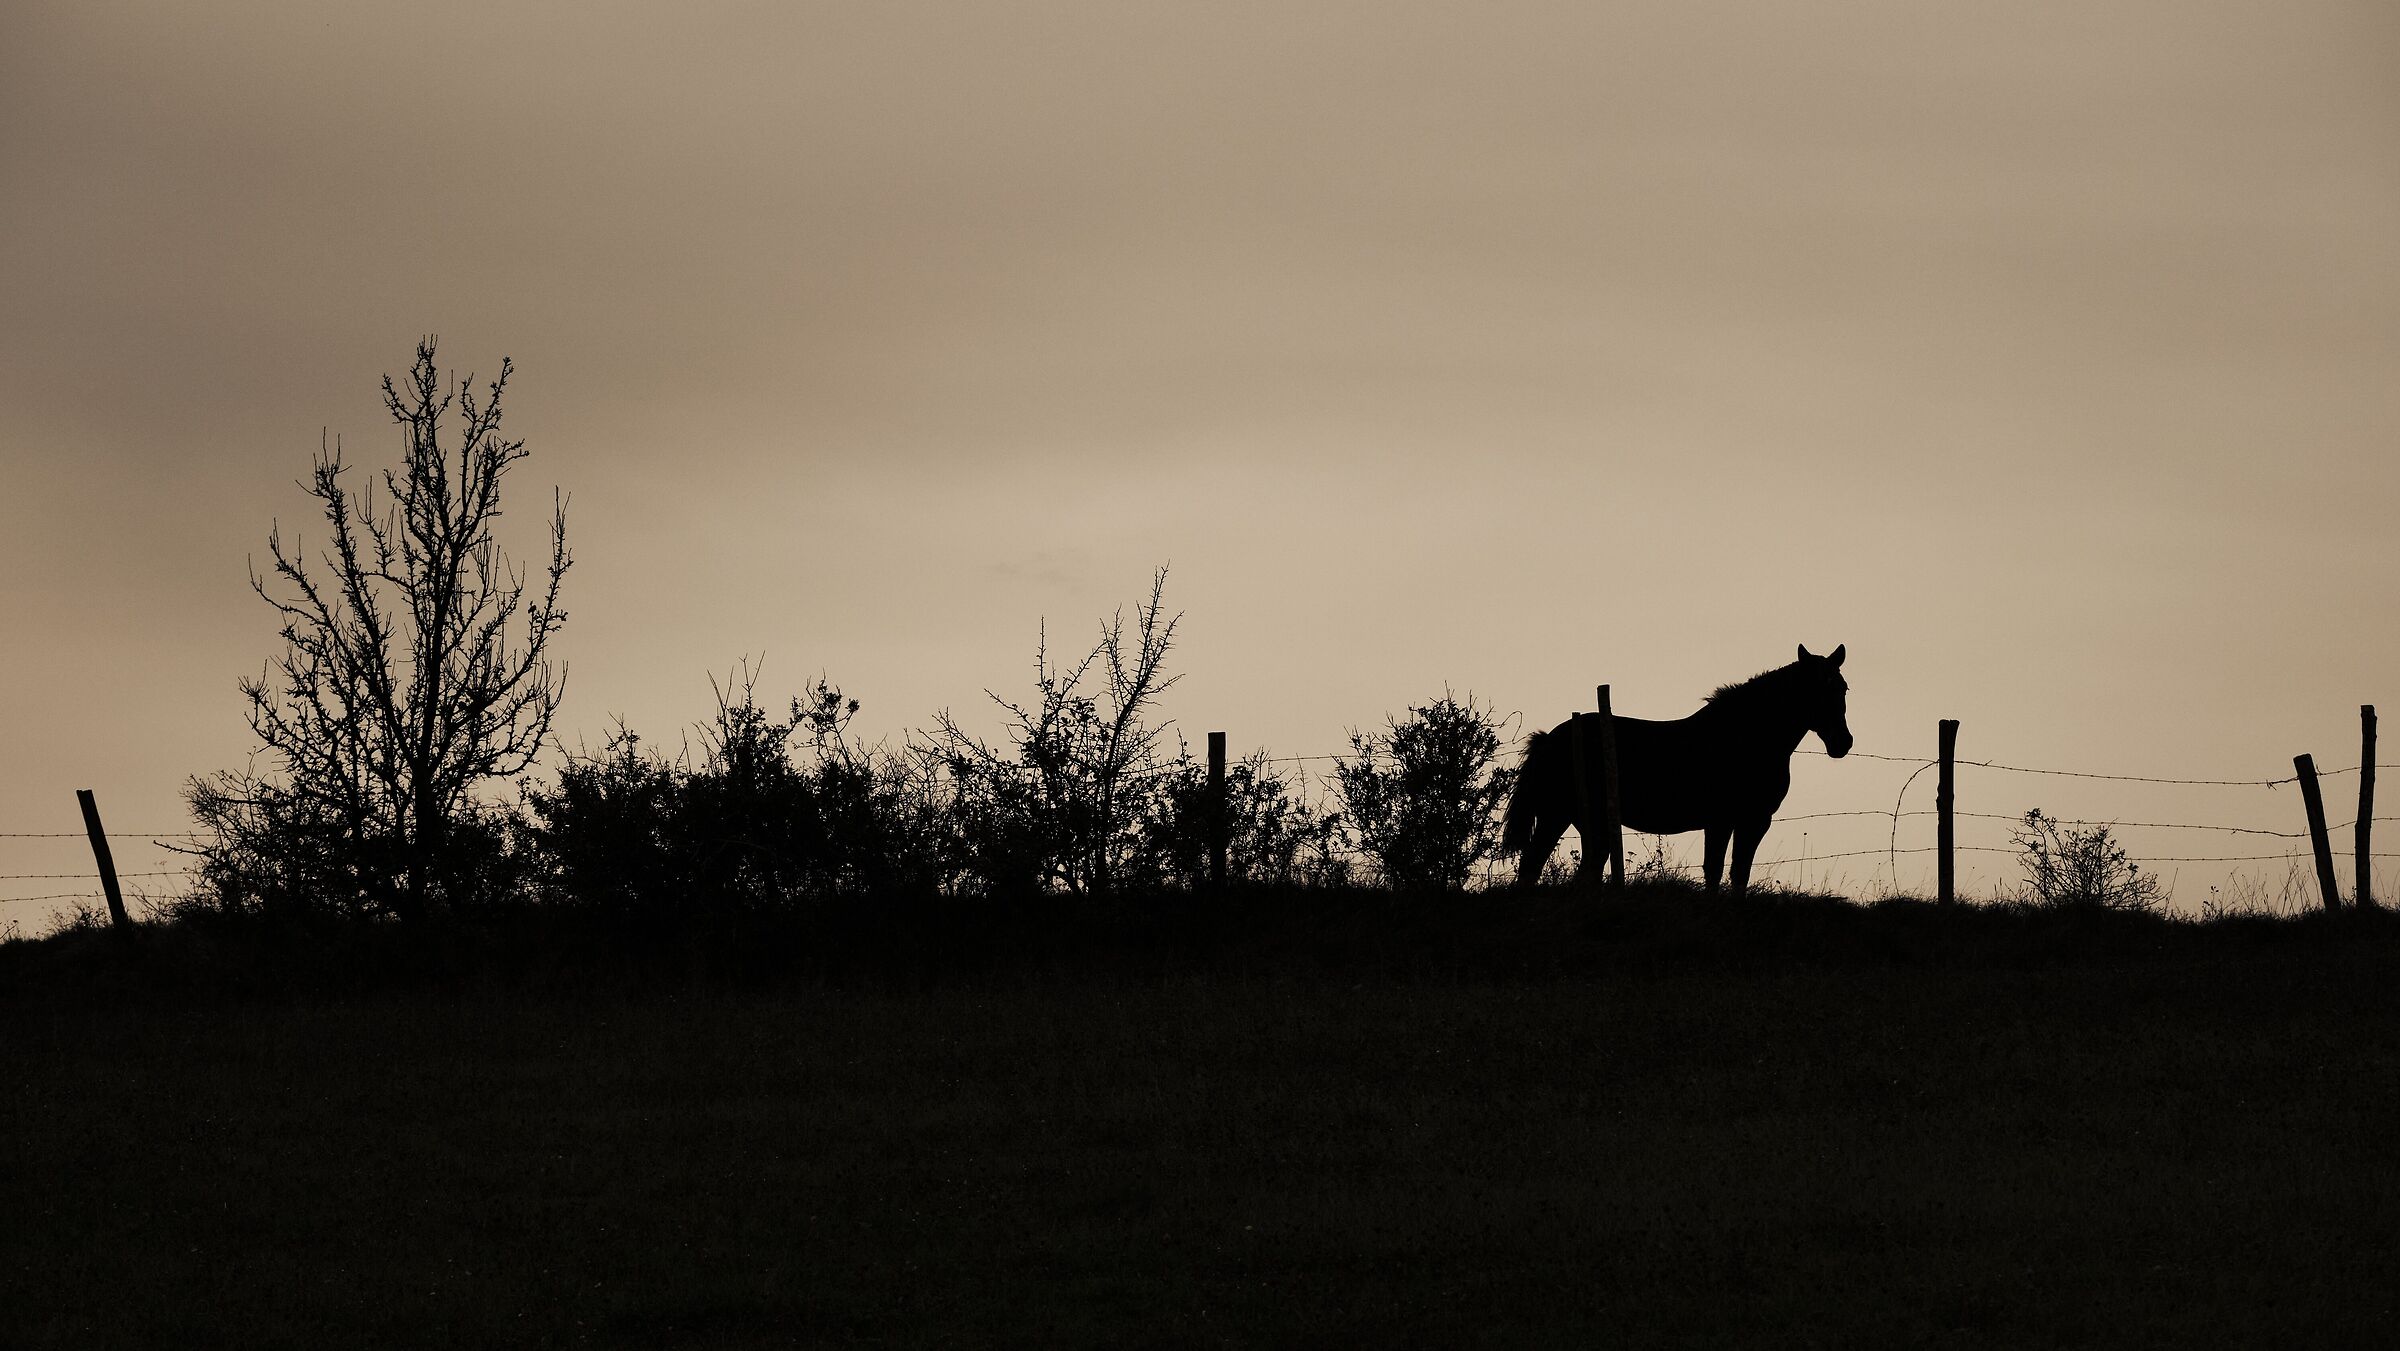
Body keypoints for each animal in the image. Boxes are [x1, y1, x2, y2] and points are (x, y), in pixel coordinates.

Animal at [1501, 645, 1852, 896]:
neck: (1743, 737)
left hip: (1579, 821)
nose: (1842, 742)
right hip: (1560, 816)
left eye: (1843, 688)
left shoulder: (1747, 821)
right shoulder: (1728, 820)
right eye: (1814, 689)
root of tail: (1550, 739)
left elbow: (1735, 872)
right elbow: (1719, 870)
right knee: (1536, 866)